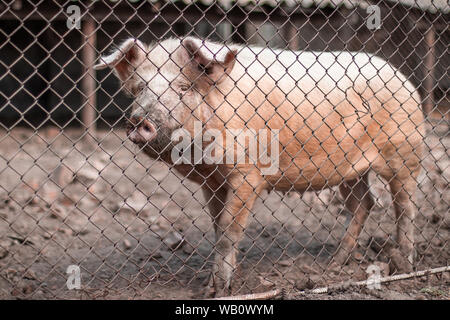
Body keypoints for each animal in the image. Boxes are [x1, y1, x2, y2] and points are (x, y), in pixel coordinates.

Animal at [94, 36, 426, 296]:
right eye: (139, 88)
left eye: (183, 87)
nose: (140, 121)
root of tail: (403, 77)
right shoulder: (212, 182)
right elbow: (217, 227)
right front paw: (211, 286)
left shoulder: (246, 174)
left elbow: (230, 229)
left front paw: (218, 291)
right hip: (350, 169)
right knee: (364, 202)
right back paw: (335, 262)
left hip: (405, 152)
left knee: (405, 206)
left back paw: (405, 265)